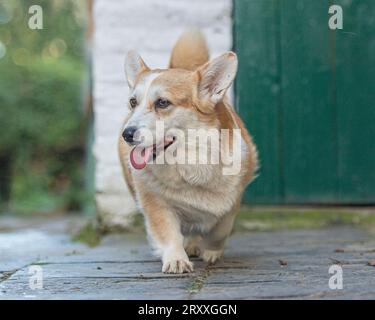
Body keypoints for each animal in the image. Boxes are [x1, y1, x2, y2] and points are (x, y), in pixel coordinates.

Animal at [119, 30, 258, 274]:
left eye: (162, 103)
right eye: (133, 102)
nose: (127, 134)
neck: (189, 161)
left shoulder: (233, 200)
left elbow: (220, 229)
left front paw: (211, 252)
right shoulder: (155, 203)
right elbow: (168, 233)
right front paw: (176, 259)